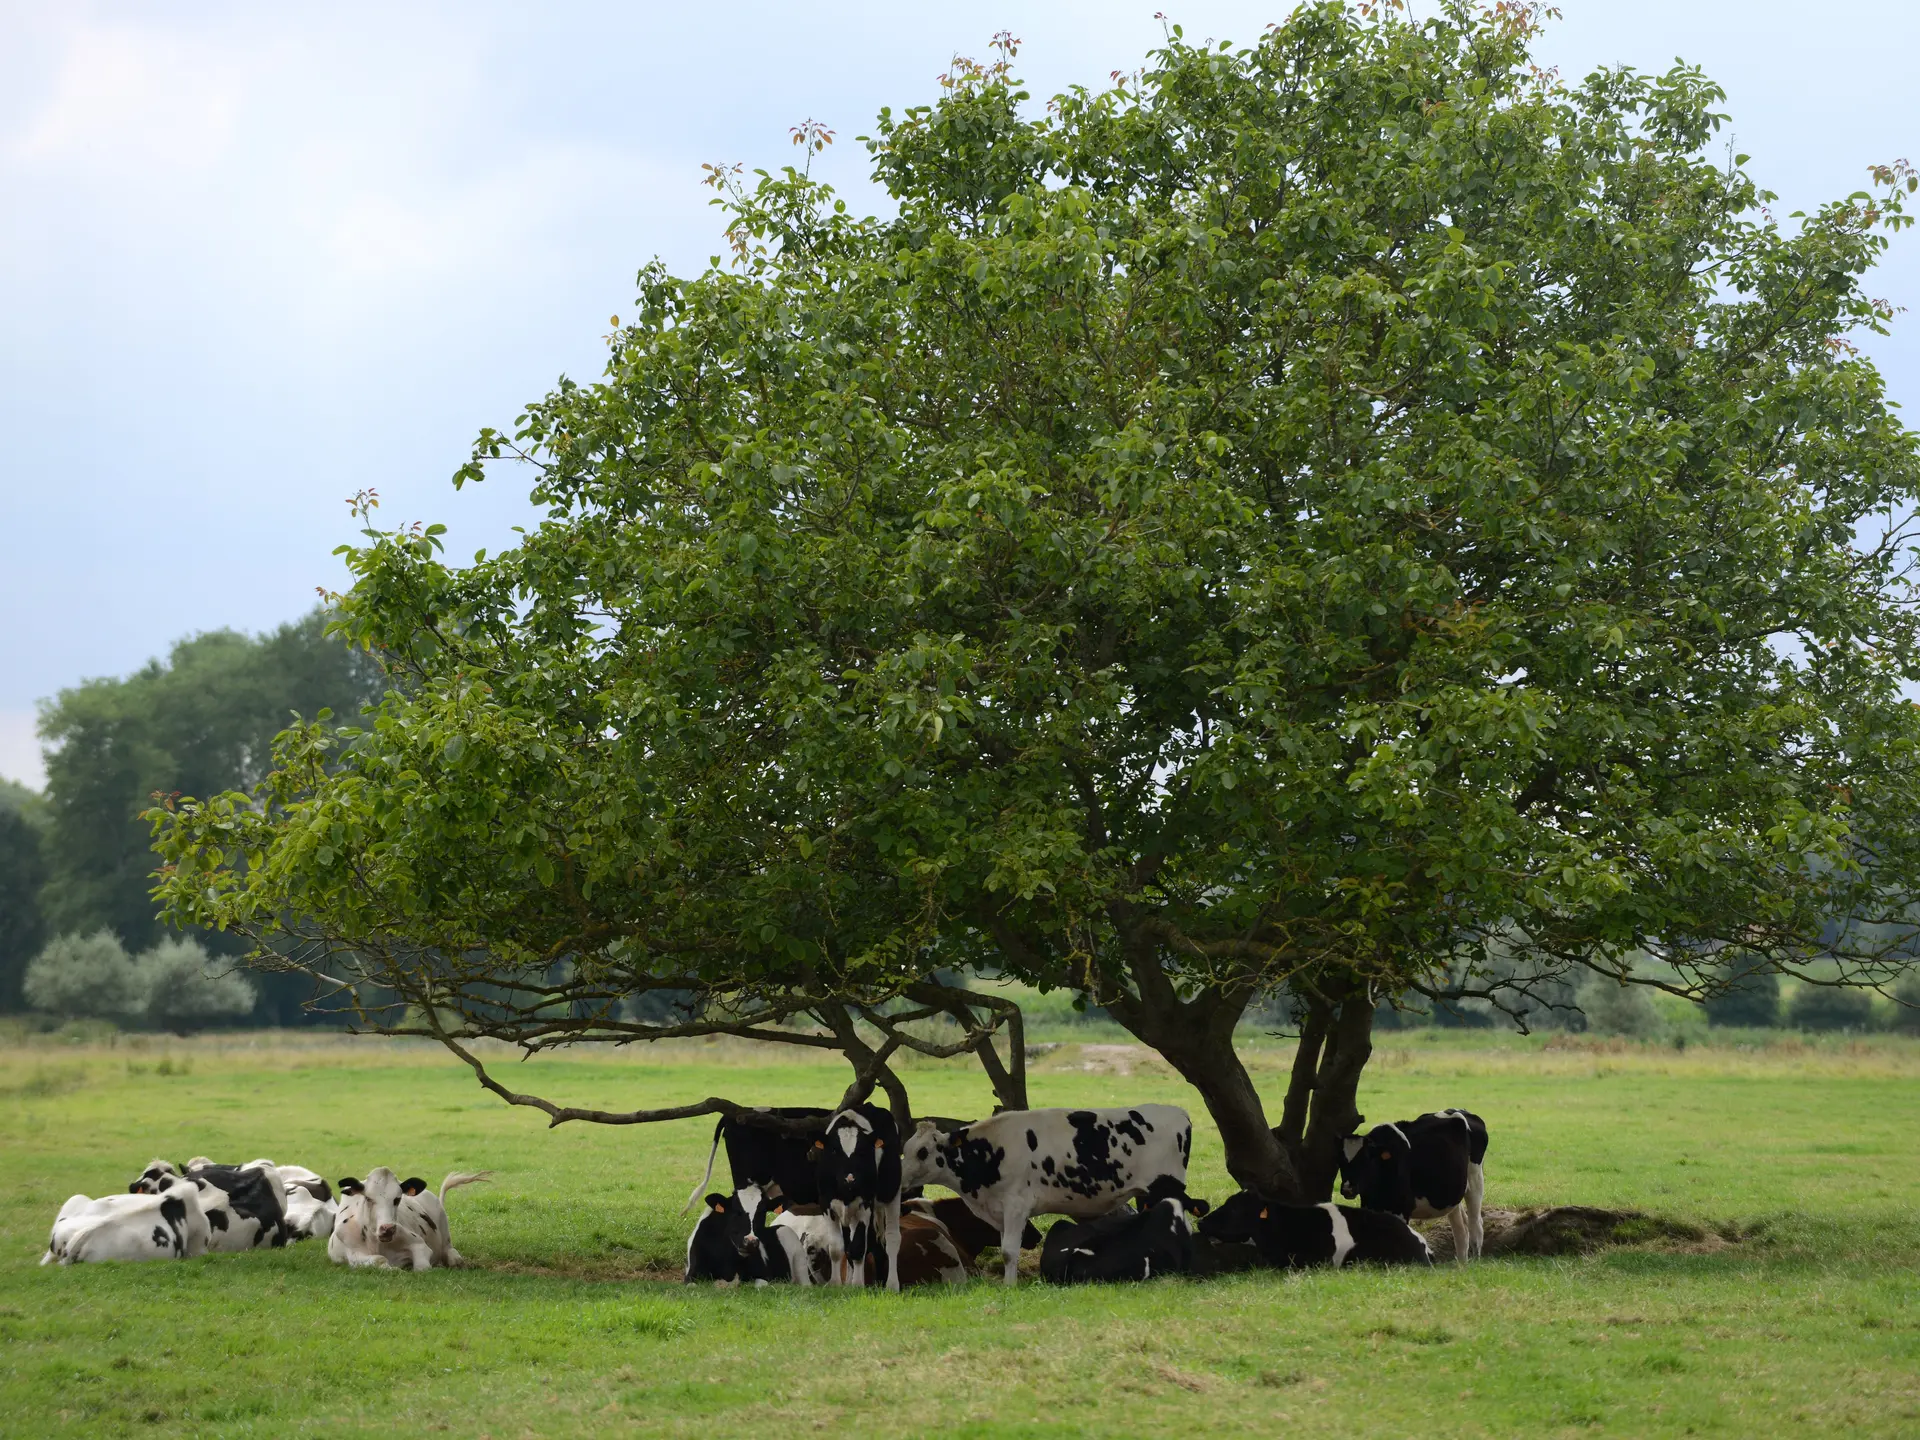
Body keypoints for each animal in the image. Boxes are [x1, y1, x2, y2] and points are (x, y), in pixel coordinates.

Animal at [328, 1167, 490, 1270]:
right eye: (368, 1198)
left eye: (397, 1199)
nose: (388, 1228)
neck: (377, 1242)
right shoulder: (354, 1254)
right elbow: (380, 1259)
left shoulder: (419, 1244)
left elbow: (422, 1266)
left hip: (445, 1236)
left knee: (451, 1254)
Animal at [813, 1105, 903, 1290]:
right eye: (834, 1150)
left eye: (862, 1152)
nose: (850, 1178)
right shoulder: (826, 1204)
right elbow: (837, 1248)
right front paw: (836, 1283)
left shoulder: (865, 1205)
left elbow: (859, 1247)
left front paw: (858, 1284)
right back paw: (848, 1281)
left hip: (892, 1193)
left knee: (892, 1238)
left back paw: (891, 1284)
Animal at [900, 1105, 1192, 1285]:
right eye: (905, 1149)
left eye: (923, 1152)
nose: (901, 1180)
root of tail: (1178, 1112)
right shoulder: (999, 1211)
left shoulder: (1016, 1205)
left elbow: (1009, 1250)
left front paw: (1009, 1286)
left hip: (1168, 1188)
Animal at [1339, 1109, 1489, 1260]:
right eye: (1341, 1162)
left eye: (1366, 1159)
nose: (1348, 1189)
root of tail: (1459, 1110)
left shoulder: (1402, 1209)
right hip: (1454, 1191)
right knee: (1461, 1228)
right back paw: (1462, 1263)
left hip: (1475, 1179)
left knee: (1476, 1225)